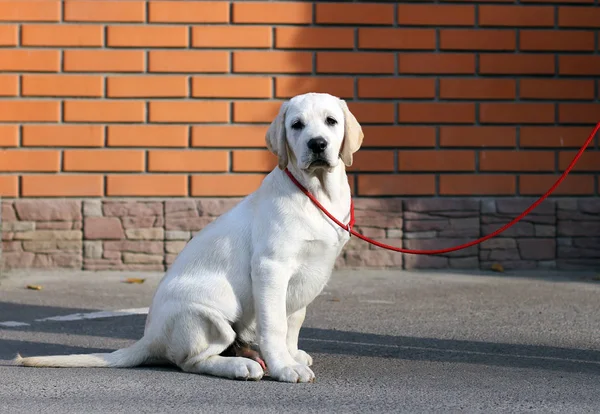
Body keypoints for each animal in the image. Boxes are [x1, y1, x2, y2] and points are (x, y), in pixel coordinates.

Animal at [16, 92, 366, 384]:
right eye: (296, 125)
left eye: (331, 121)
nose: (317, 144)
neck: (315, 191)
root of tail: (150, 337)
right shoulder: (271, 268)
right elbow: (275, 324)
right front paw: (284, 367)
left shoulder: (307, 274)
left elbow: (294, 320)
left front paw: (291, 355)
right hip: (206, 312)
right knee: (191, 361)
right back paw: (240, 366)